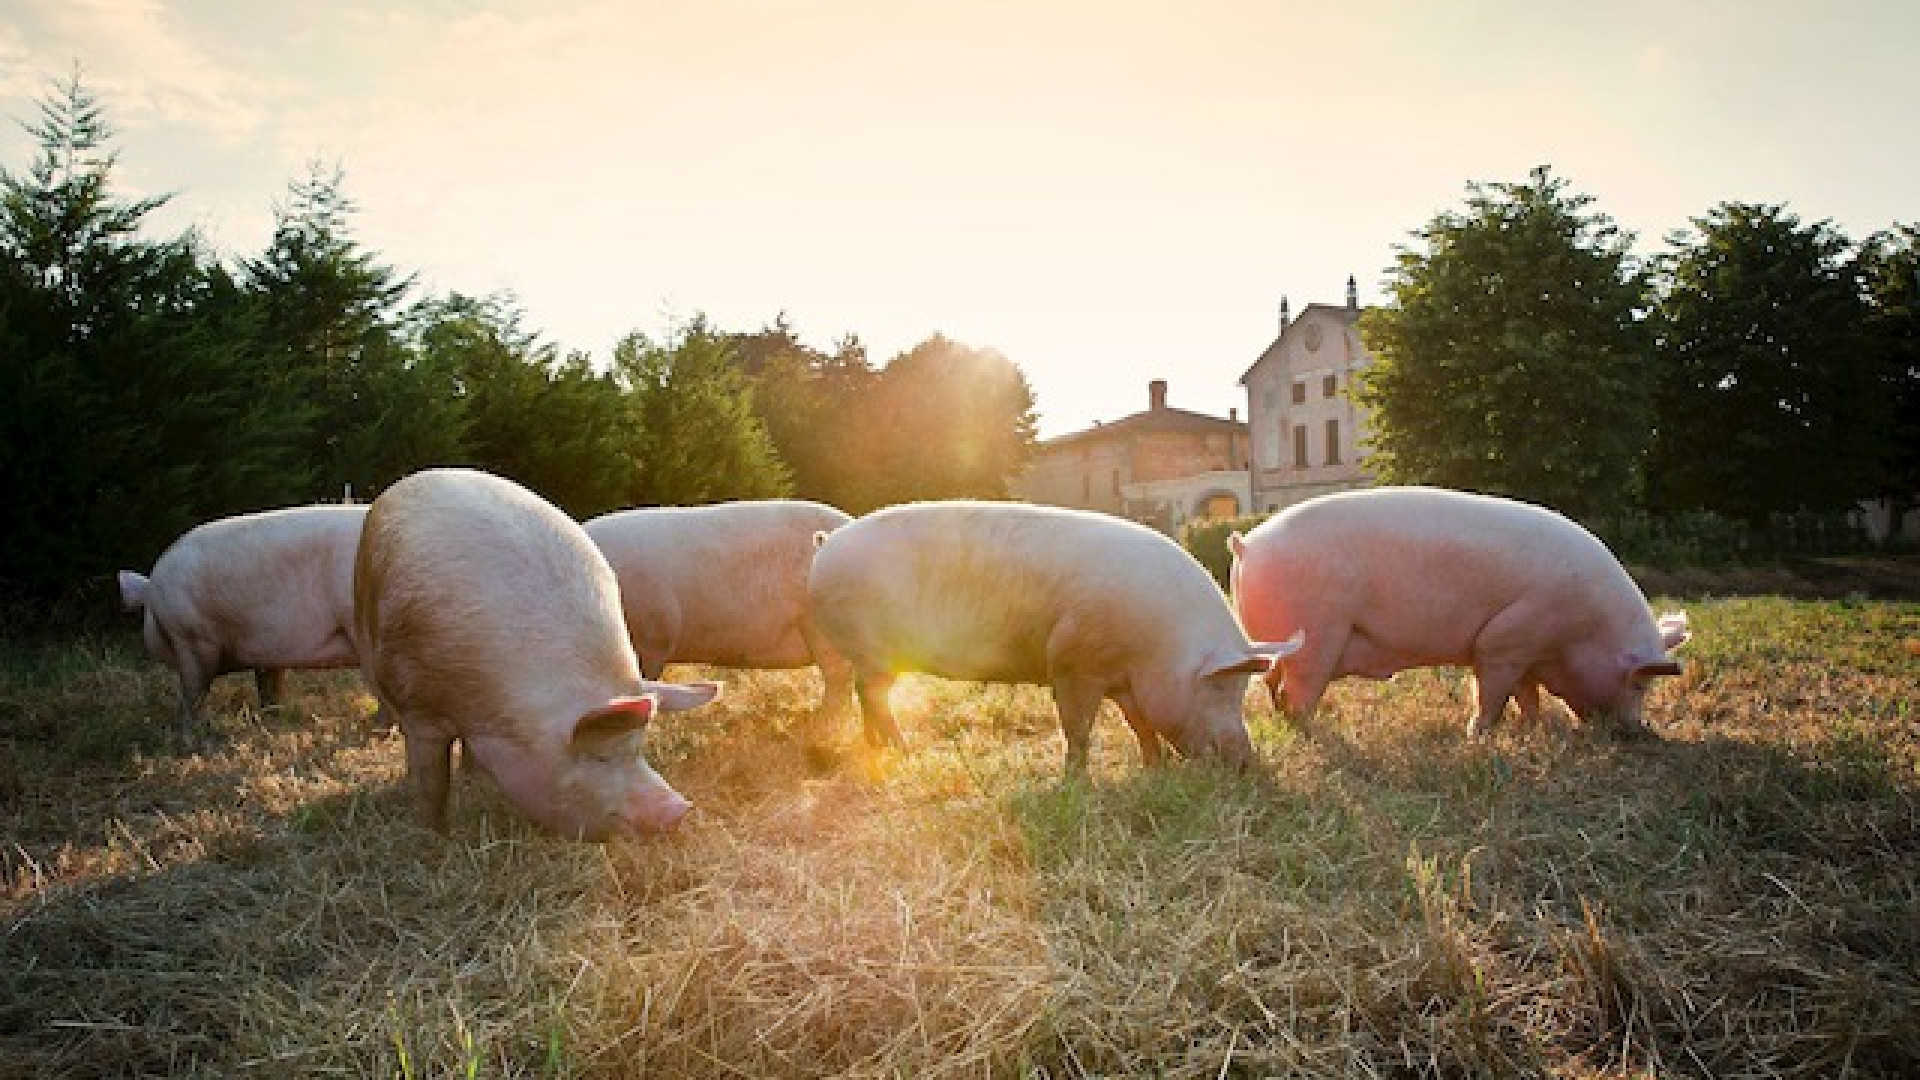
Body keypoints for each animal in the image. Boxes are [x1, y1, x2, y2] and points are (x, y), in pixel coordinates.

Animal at [119, 504, 370, 744]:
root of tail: (150, 587)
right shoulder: (267, 653)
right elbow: (269, 692)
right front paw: (272, 725)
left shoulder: (191, 638)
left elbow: (194, 694)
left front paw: (191, 738)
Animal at [354, 468, 720, 839]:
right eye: (599, 757)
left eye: (639, 747)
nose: (679, 809)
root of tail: (421, 475)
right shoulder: (419, 706)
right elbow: (432, 782)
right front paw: (433, 834)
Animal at [807, 500, 1302, 774]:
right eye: (1220, 688)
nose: (1248, 762)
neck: (1159, 648)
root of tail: (826, 545)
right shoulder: (1073, 661)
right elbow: (1078, 729)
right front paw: (1077, 782)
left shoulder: (1124, 680)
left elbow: (1140, 724)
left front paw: (1153, 769)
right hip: (871, 645)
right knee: (873, 694)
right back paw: (904, 752)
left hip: (867, 654)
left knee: (863, 692)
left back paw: (877, 749)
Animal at [1228, 486, 1691, 739]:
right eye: (1640, 684)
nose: (1638, 731)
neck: (1582, 629)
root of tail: (1247, 545)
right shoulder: (1505, 638)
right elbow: (1493, 692)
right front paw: (1478, 735)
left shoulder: (1525, 651)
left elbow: (1527, 693)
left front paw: (1532, 728)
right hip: (1316, 633)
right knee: (1298, 692)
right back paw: (1313, 732)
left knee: (1273, 684)